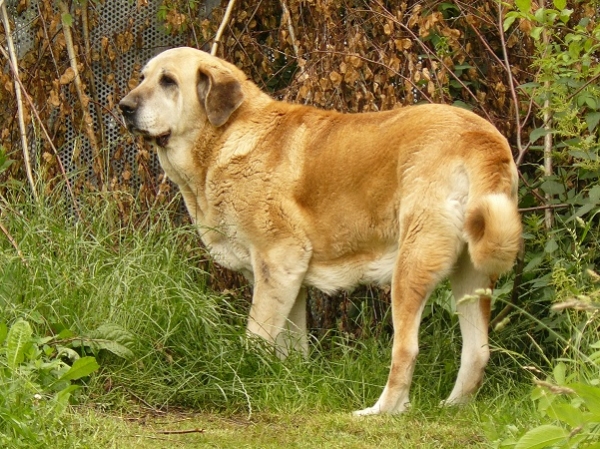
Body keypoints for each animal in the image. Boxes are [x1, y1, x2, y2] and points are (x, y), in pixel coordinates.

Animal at [119, 47, 524, 414]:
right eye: (142, 77)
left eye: (168, 81)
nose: (124, 106)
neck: (224, 138)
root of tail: (481, 137)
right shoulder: (290, 280)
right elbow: (291, 345)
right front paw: (290, 382)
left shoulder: (277, 263)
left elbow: (255, 337)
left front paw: (241, 379)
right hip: (471, 276)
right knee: (477, 351)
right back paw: (454, 406)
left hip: (411, 264)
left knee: (406, 349)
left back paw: (382, 411)